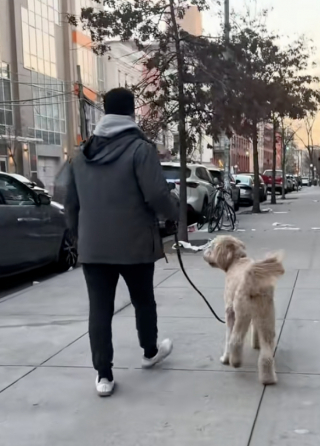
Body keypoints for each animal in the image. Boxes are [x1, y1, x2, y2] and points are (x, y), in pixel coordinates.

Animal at [204, 235, 284, 386]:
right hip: (266, 314)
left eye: (212, 246)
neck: (236, 261)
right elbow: (255, 329)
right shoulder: (256, 316)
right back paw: (268, 378)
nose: (204, 252)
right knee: (267, 347)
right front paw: (256, 344)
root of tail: (252, 280)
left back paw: (235, 362)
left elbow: (228, 337)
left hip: (242, 312)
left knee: (235, 340)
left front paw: (225, 358)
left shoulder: (230, 312)